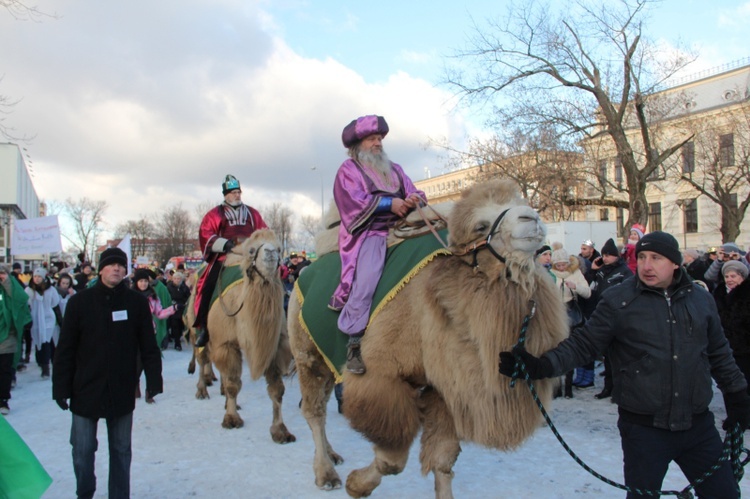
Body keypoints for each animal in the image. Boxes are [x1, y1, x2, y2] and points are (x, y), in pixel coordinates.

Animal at [187, 229, 296, 444]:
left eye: (279, 247)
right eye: (252, 250)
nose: (271, 253)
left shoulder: (273, 346)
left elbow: (277, 389)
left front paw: (280, 430)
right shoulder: (226, 343)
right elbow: (233, 384)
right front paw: (231, 419)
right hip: (197, 327)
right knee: (202, 357)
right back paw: (202, 390)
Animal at [288, 179, 568, 496]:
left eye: (520, 203)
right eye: (481, 226)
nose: (531, 218)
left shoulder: (444, 387)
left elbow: (443, 460)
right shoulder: (383, 378)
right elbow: (392, 460)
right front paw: (356, 485)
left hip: (325, 361)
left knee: (318, 404)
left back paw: (333, 455)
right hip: (306, 355)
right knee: (314, 411)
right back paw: (327, 474)